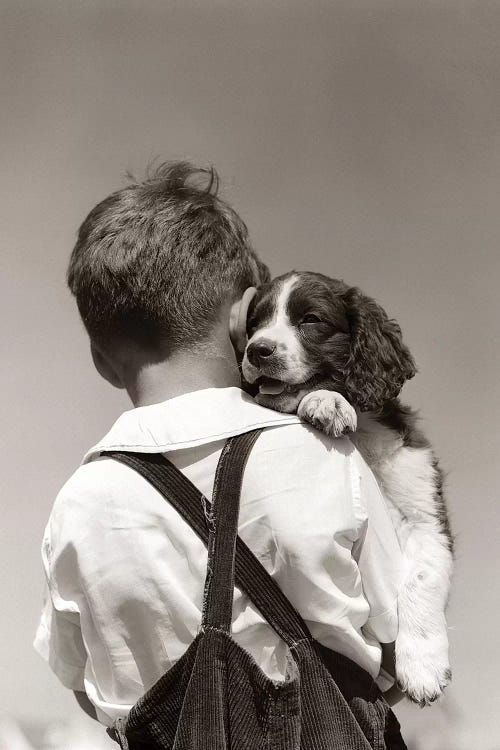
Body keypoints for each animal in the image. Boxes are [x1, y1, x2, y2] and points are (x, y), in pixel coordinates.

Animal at [240, 274, 456, 708]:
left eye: (311, 319)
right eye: (254, 324)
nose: (257, 350)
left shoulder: (425, 513)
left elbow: (421, 577)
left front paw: (423, 666)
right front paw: (328, 402)